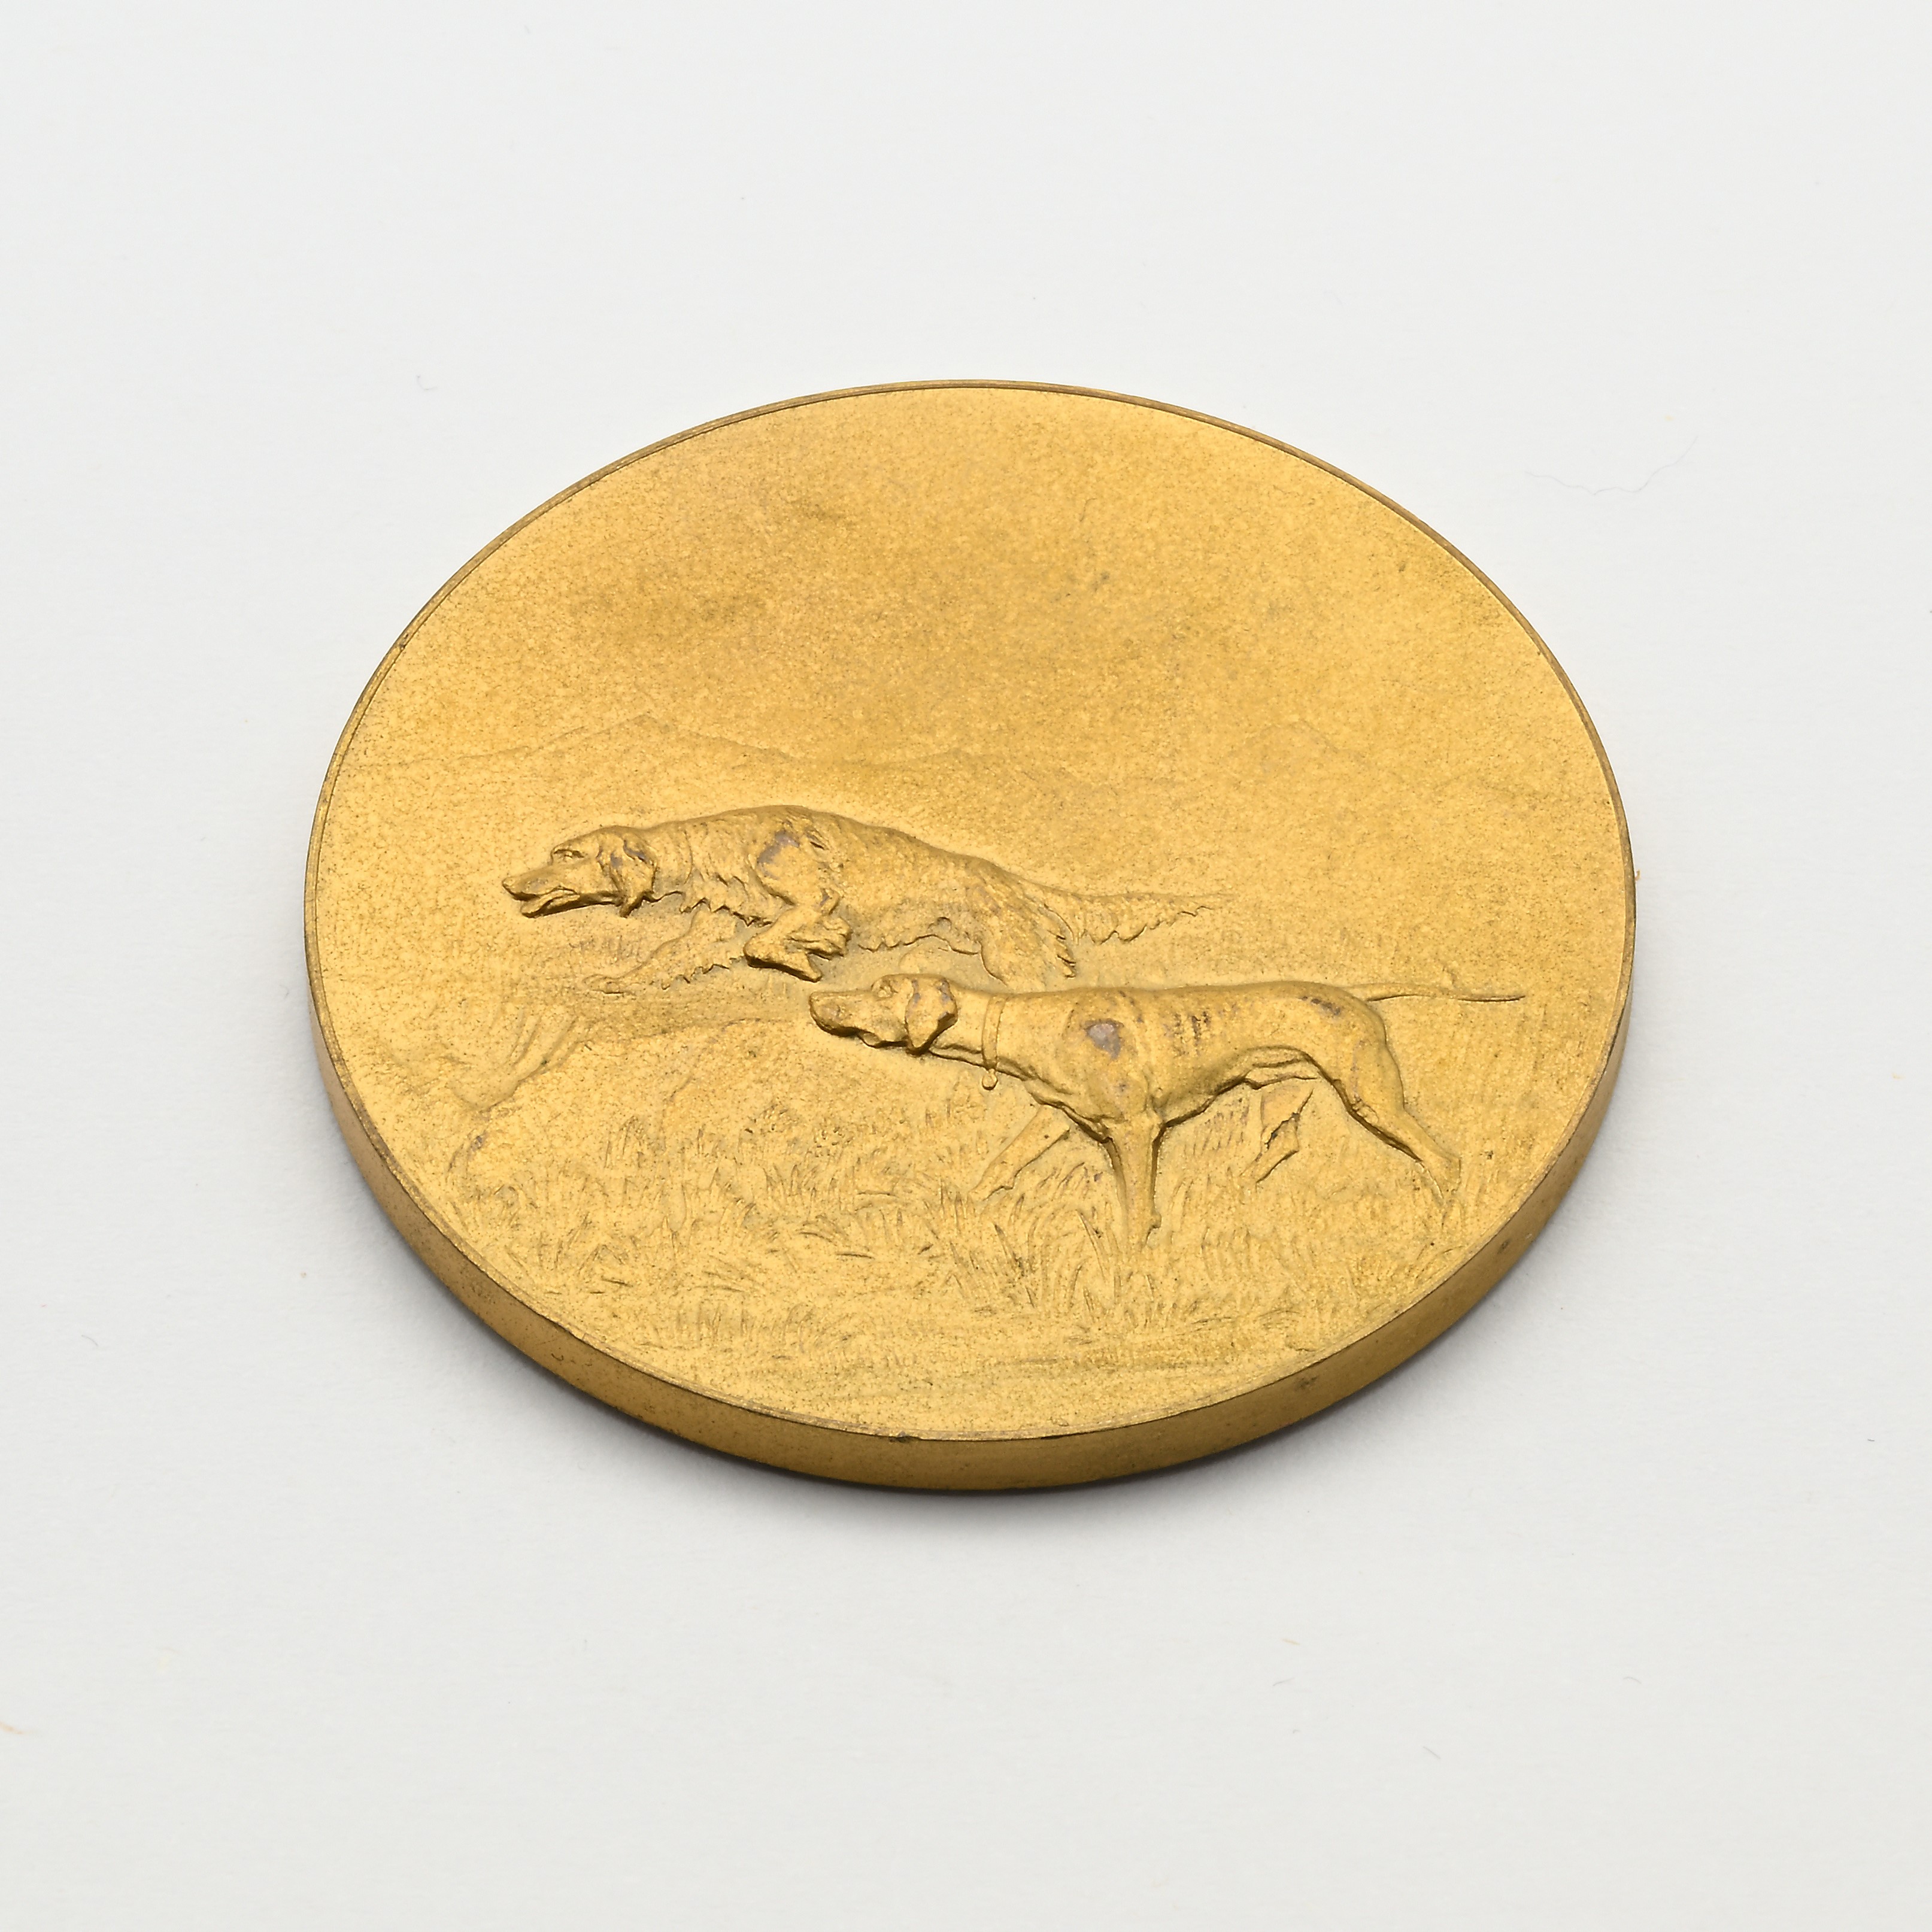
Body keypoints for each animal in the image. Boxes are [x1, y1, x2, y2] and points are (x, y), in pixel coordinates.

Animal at [504, 807, 1210, 990]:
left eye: (566, 856)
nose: (511, 885)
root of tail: (1011, 878)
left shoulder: (807, 890)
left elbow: (774, 939)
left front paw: (814, 948)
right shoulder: (716, 927)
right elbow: (674, 955)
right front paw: (615, 981)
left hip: (1009, 951)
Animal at [809, 972, 1521, 1245]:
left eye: (882, 989)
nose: (819, 1002)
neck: (1034, 1025)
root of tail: (1354, 994)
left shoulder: (1134, 1130)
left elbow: (1134, 1209)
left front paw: (1128, 1263)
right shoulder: (1056, 1117)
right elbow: (1001, 1162)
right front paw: (961, 1203)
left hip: (1371, 1096)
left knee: (1443, 1157)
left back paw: (1444, 1219)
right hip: (1280, 1094)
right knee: (1282, 1145)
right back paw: (1231, 1194)